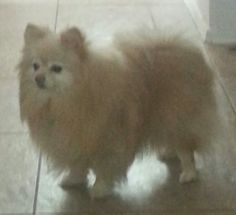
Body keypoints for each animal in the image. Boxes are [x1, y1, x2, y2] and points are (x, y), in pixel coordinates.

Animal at [18, 23, 217, 198]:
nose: (38, 78)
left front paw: (99, 189)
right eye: (35, 66)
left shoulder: (108, 142)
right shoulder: (76, 142)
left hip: (178, 116)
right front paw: (74, 179)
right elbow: (78, 165)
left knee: (186, 149)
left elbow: (104, 169)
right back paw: (169, 152)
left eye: (56, 68)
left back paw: (188, 173)